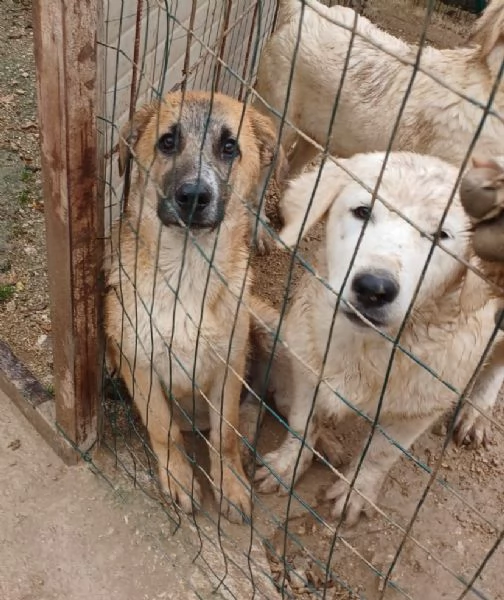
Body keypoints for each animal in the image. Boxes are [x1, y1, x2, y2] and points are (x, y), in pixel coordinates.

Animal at [104, 91, 286, 524]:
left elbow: (225, 434)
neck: (186, 274)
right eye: (168, 141)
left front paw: (230, 483)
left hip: (271, 329)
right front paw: (178, 477)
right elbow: (162, 428)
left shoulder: (228, 366)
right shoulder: (140, 361)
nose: (193, 197)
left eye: (229, 147)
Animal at [252, 154, 504, 524]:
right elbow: (301, 423)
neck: (365, 346)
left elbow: (379, 455)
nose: (374, 288)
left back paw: (477, 411)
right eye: (362, 211)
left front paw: (354, 492)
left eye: (441, 236)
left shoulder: (420, 409)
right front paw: (286, 466)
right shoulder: (307, 363)